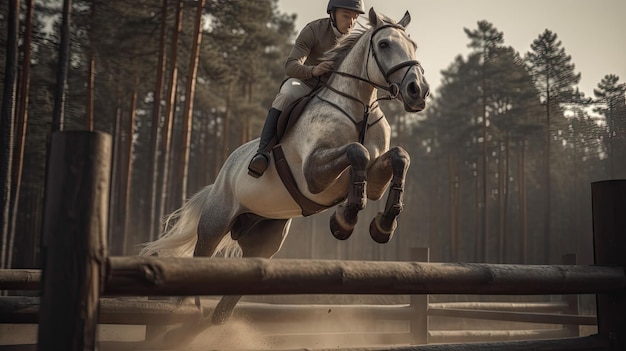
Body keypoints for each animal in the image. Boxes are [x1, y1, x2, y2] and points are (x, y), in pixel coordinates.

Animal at [138, 7, 426, 346]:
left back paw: (202, 327)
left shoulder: (375, 176)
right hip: (214, 225)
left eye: (414, 46)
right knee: (199, 267)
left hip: (265, 240)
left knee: (231, 298)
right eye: (383, 44)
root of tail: (220, 178)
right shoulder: (314, 174)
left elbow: (398, 157)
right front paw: (344, 221)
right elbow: (357, 152)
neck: (359, 108)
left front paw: (383, 225)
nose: (418, 91)